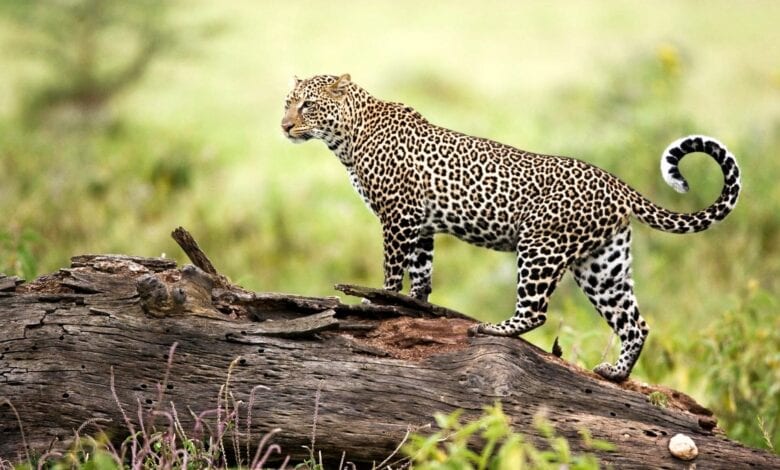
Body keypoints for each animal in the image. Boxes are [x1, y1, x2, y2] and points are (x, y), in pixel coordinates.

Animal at [281, 73, 741, 382]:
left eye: (308, 106)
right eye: (288, 103)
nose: (285, 126)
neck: (347, 137)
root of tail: (617, 184)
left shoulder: (397, 217)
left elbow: (393, 270)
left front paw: (377, 304)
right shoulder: (421, 225)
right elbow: (422, 273)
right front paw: (415, 306)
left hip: (540, 246)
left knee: (536, 311)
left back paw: (492, 327)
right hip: (602, 266)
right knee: (634, 323)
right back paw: (615, 373)